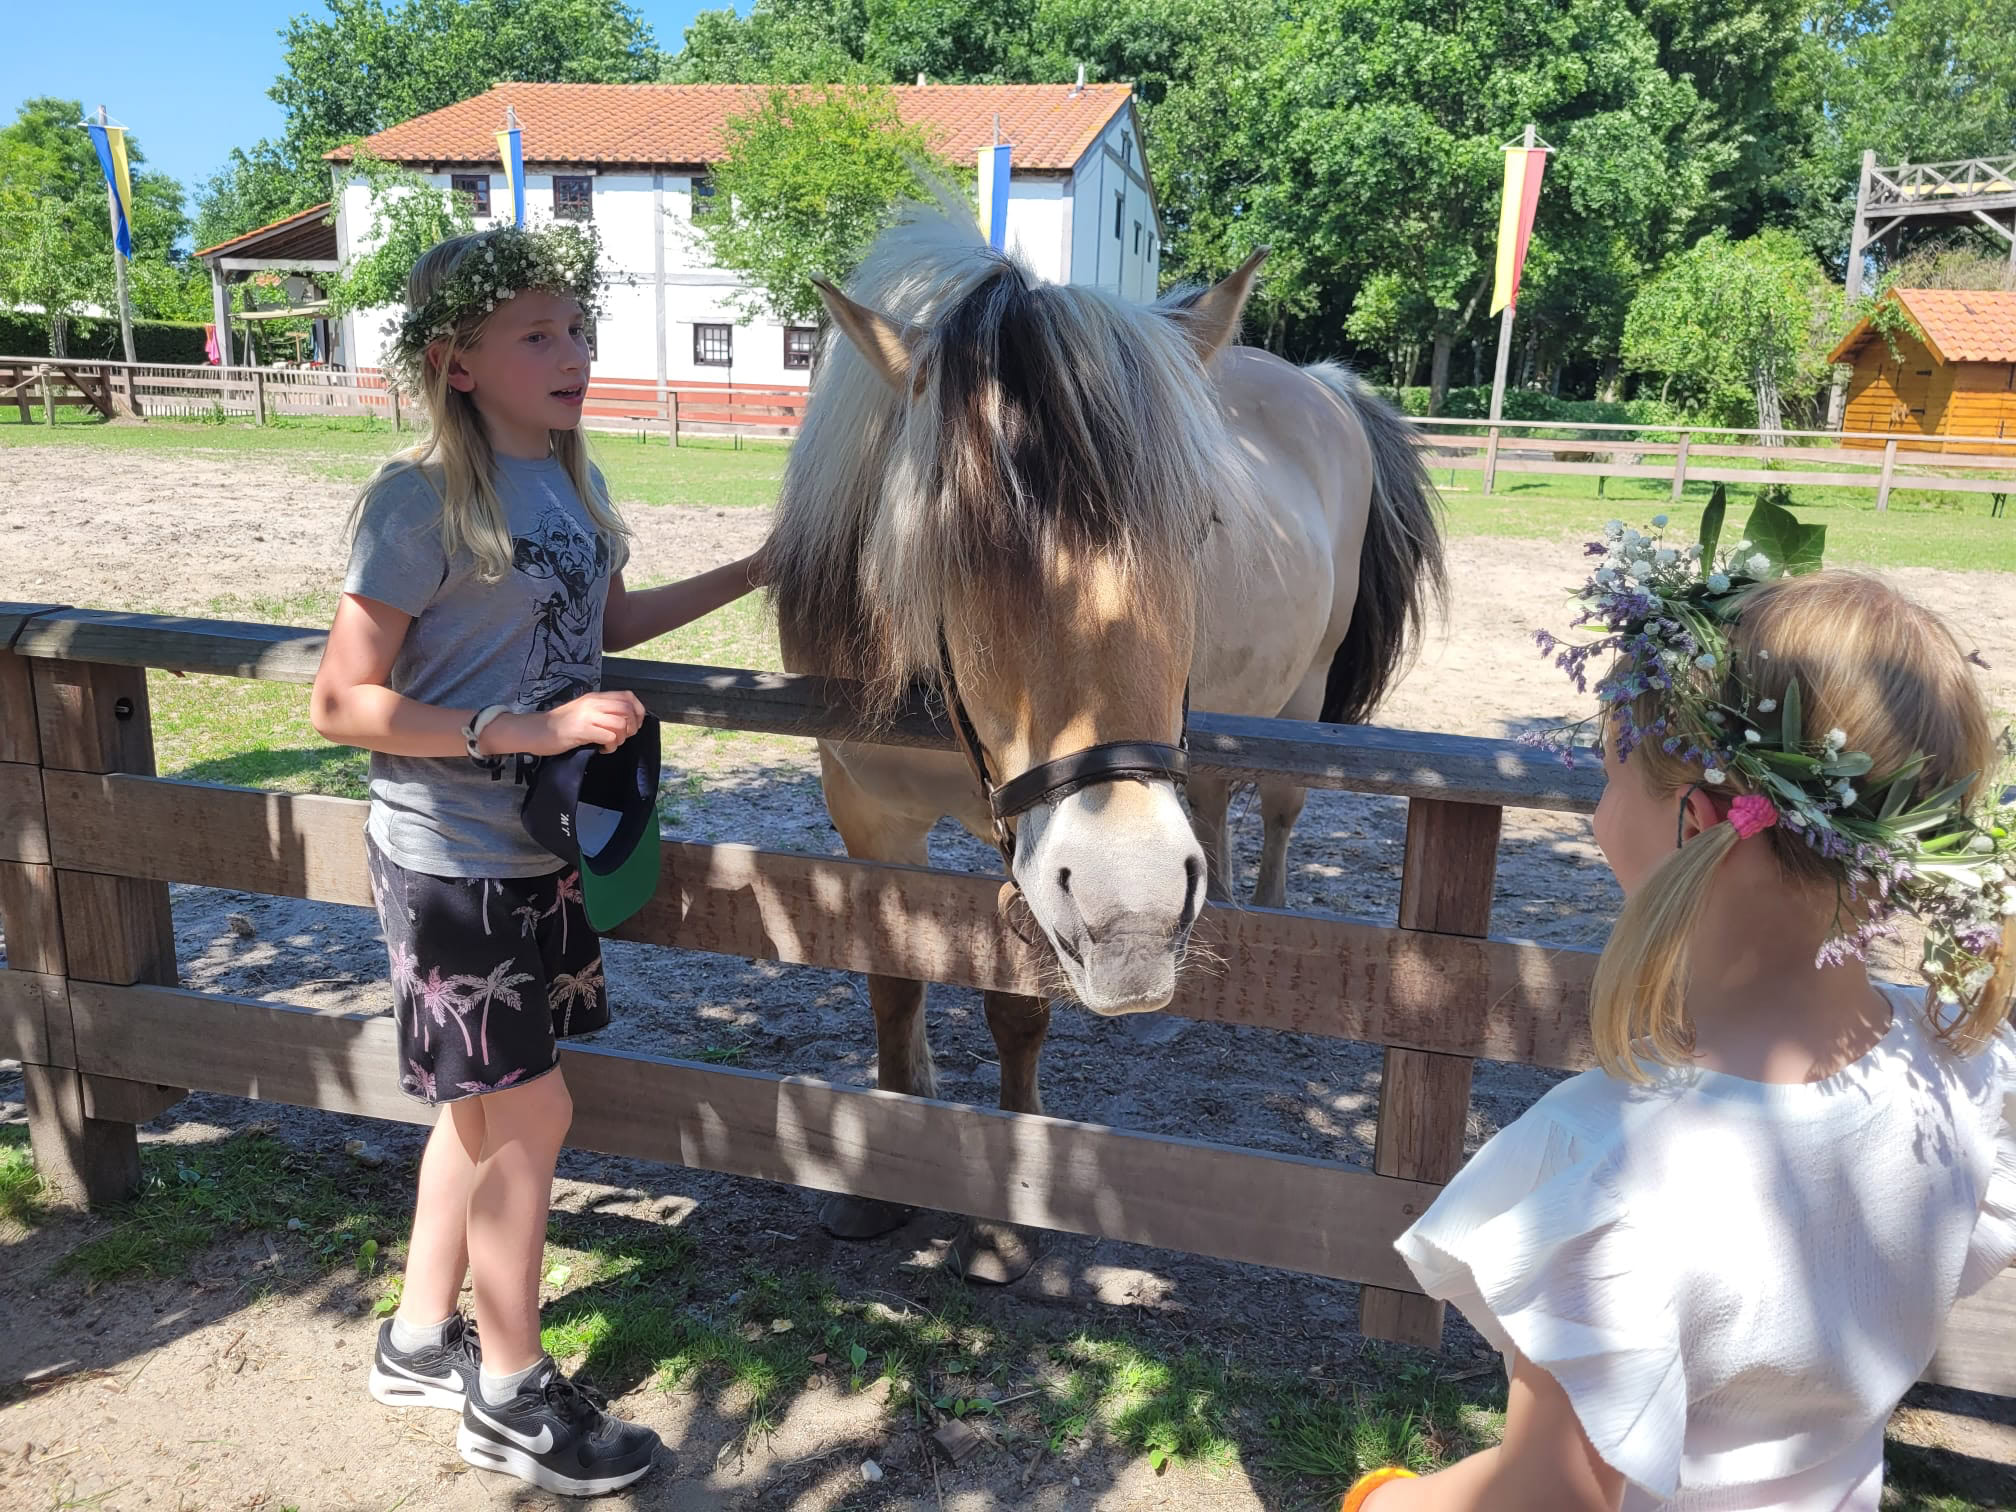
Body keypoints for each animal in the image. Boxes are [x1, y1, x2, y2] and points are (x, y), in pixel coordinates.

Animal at [764, 205, 1445, 1279]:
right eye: (953, 537)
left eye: (1201, 524)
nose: (1134, 911)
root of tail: (1320, 381)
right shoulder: (866, 815)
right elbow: (890, 981)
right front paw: (885, 1170)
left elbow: (1016, 1007)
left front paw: (1002, 1221)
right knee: (1211, 808)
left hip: (1301, 697)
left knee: (1278, 811)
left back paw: (1267, 918)